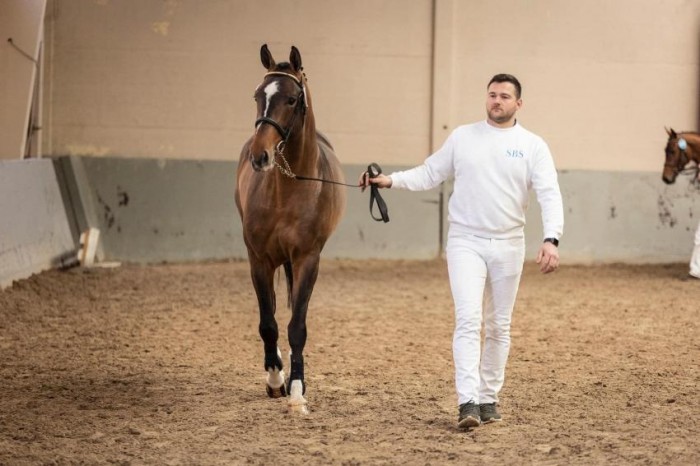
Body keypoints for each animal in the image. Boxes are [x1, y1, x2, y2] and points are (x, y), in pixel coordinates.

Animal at [234, 45, 346, 414]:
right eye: (257, 95)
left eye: (293, 99)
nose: (260, 156)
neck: (288, 188)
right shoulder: (259, 260)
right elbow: (268, 324)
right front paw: (275, 378)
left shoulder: (307, 259)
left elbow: (297, 326)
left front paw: (297, 390)